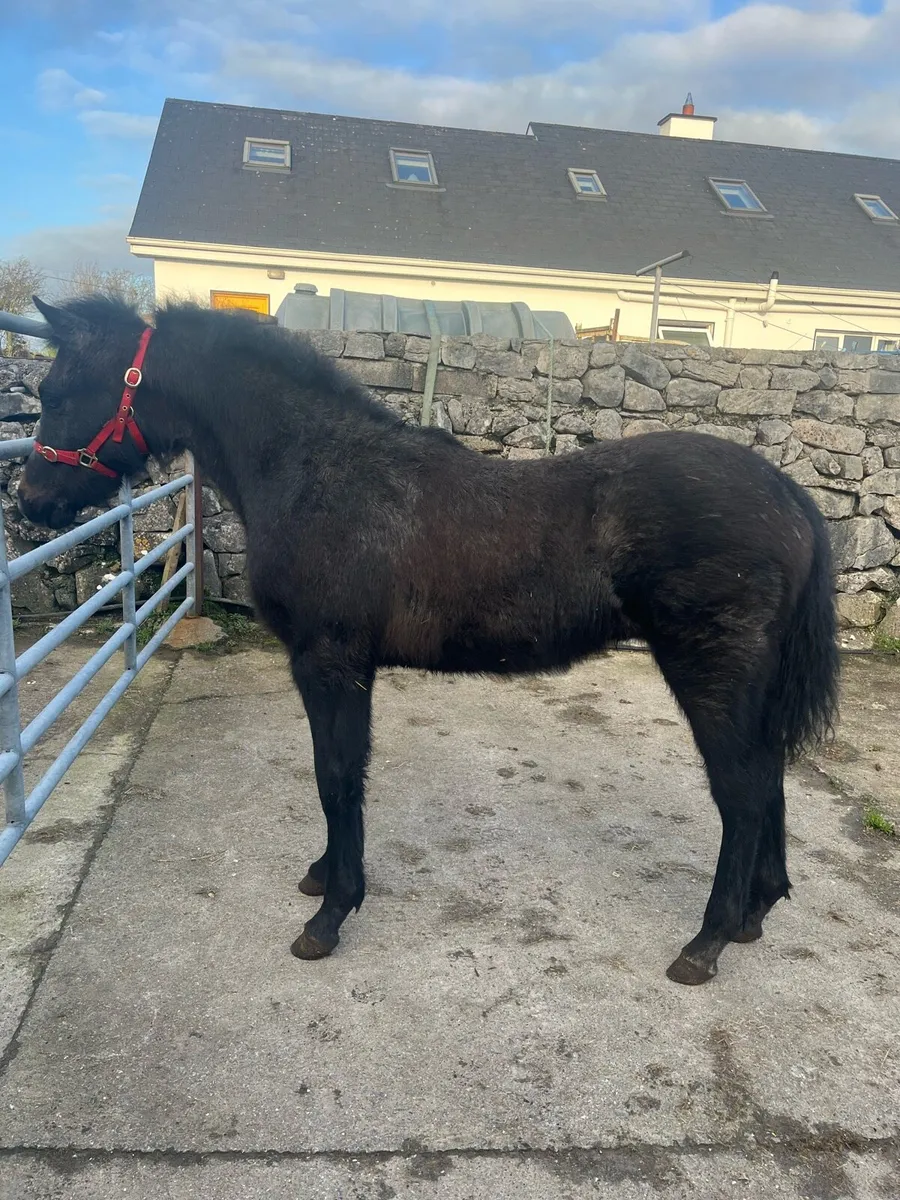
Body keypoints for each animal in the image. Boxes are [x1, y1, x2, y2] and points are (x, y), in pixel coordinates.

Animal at [15, 295, 839, 985]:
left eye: (57, 394)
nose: (31, 503)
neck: (318, 470)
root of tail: (787, 494)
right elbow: (339, 775)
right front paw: (325, 877)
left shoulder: (331, 662)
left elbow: (336, 776)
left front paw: (330, 915)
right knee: (767, 778)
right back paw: (757, 912)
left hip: (712, 675)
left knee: (741, 793)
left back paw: (707, 942)